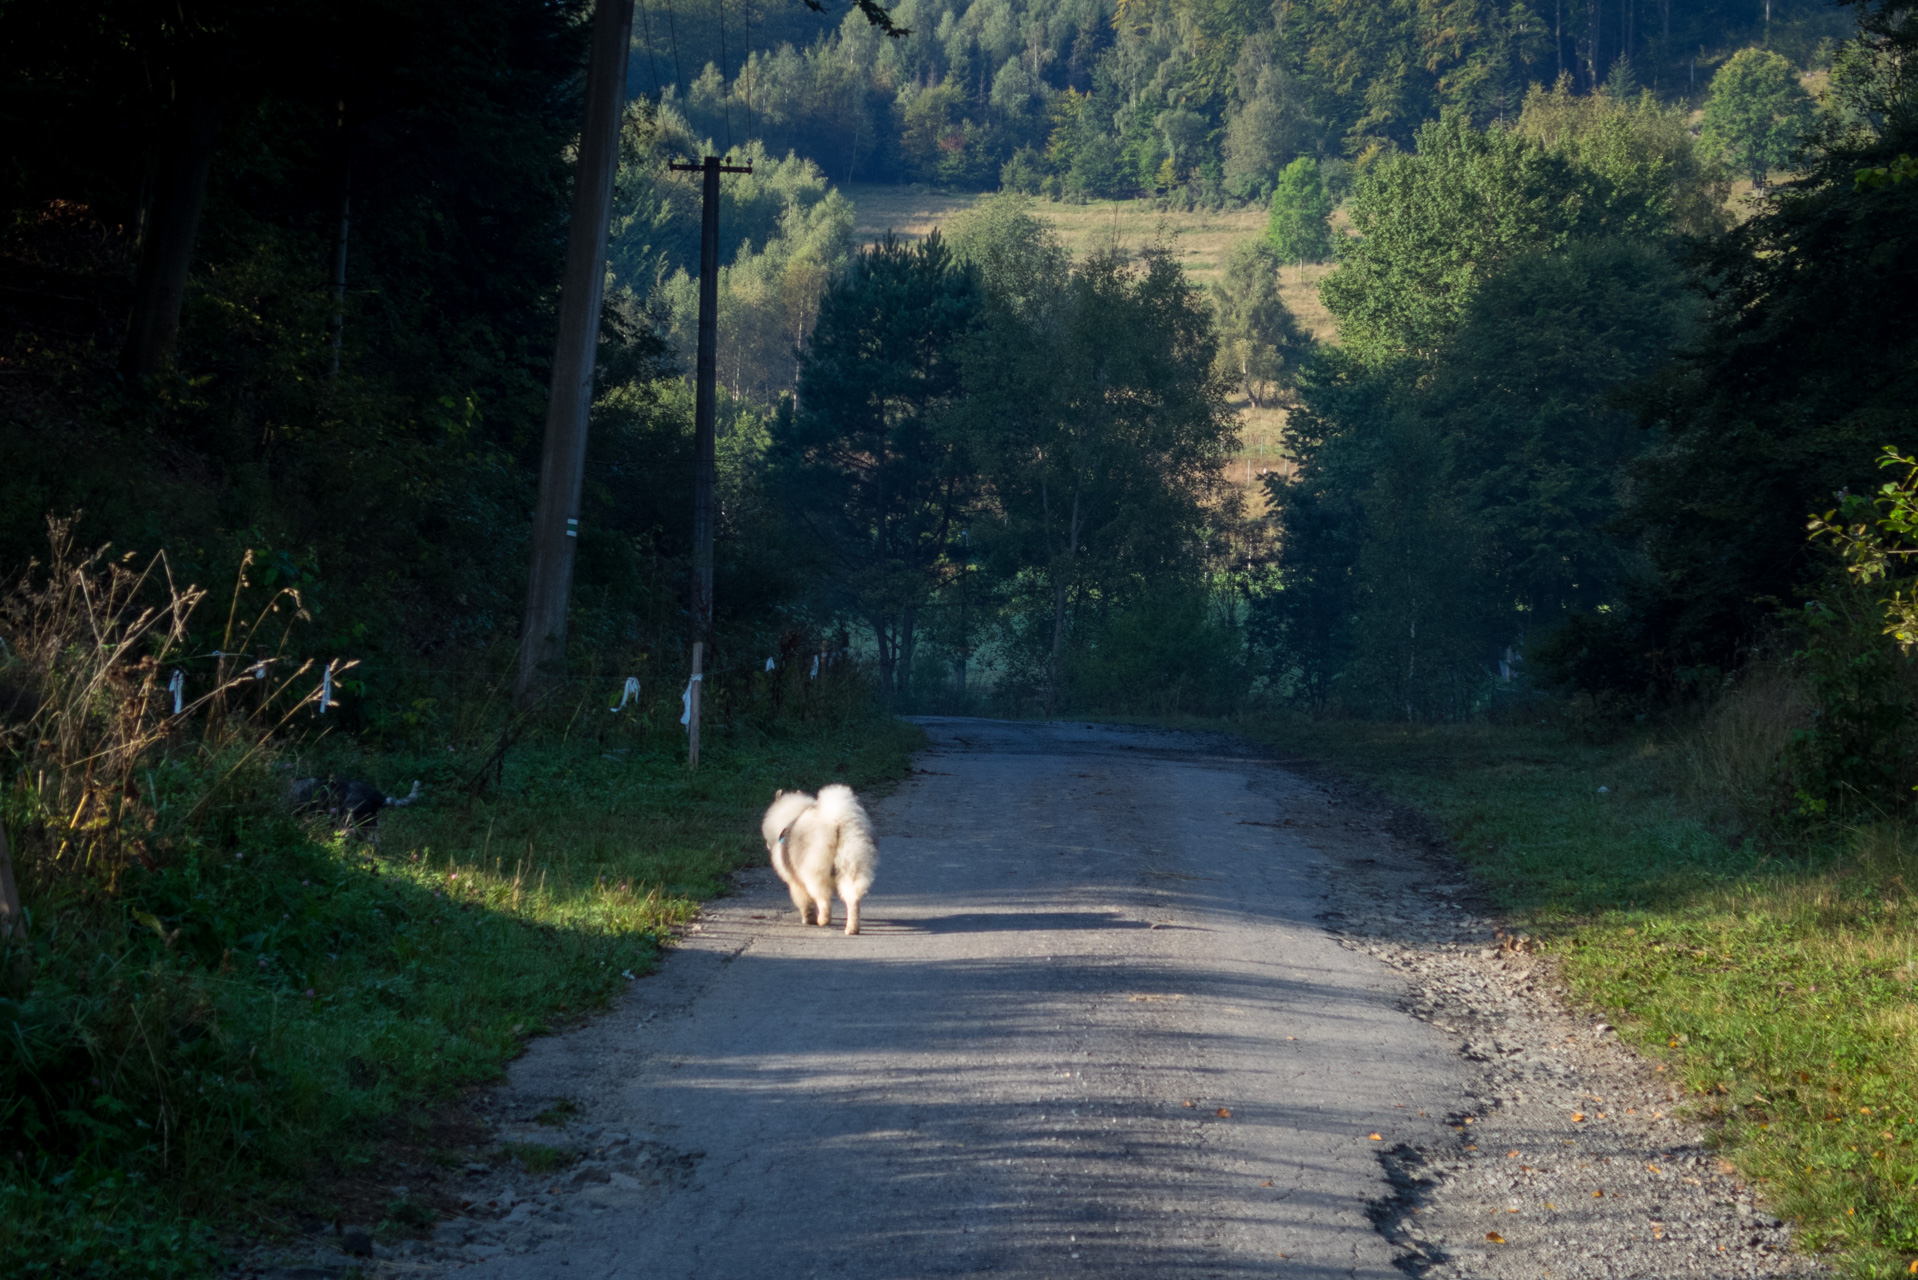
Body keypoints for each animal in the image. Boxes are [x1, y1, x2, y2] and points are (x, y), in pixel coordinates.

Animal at [763, 786, 882, 936]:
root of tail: (837, 818)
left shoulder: (795, 882)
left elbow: (805, 903)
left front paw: (808, 919)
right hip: (852, 864)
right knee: (852, 899)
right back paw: (852, 928)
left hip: (816, 871)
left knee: (824, 900)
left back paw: (822, 920)